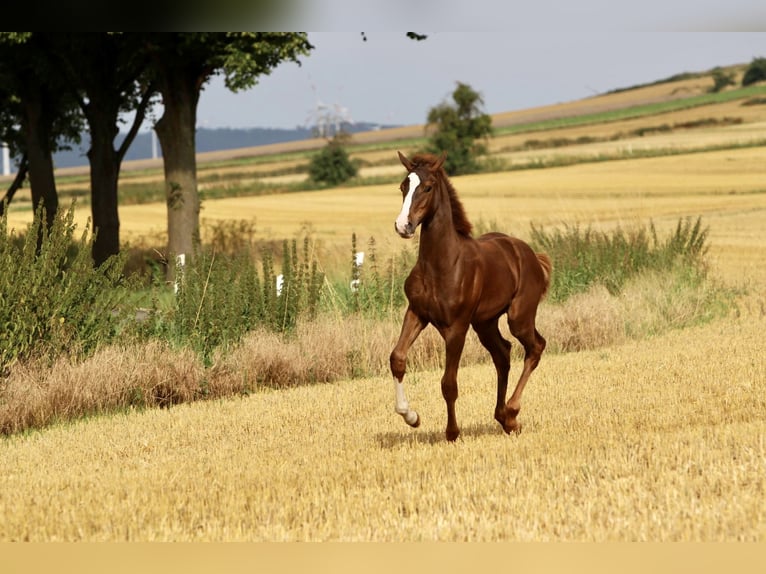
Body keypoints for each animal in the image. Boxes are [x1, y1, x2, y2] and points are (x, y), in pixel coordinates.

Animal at [390, 151, 552, 444]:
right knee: (503, 353)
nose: (403, 226)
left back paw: (512, 413)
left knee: (535, 347)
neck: (441, 264)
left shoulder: (456, 327)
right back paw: (503, 417)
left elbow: (448, 383)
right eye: (403, 186)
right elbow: (397, 358)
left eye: (427, 187)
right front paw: (411, 417)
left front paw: (452, 433)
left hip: (518, 317)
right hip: (485, 323)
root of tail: (531, 255)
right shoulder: (416, 313)